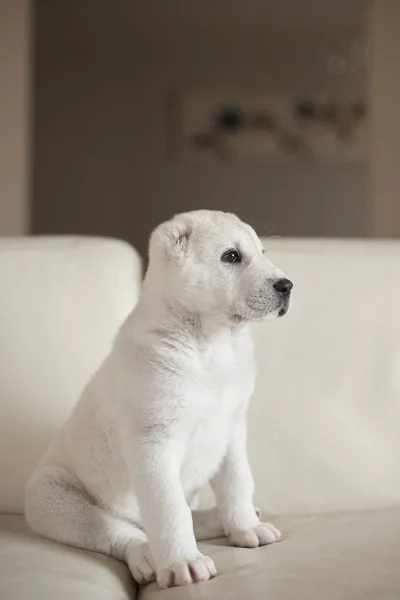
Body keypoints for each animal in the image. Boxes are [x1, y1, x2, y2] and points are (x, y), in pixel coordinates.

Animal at [25, 210, 294, 584]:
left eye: (263, 251)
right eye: (231, 256)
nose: (287, 286)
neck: (210, 344)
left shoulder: (232, 431)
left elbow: (238, 481)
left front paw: (246, 528)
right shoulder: (153, 443)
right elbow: (169, 508)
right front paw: (184, 563)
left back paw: (224, 520)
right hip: (55, 500)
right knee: (121, 532)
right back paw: (149, 556)